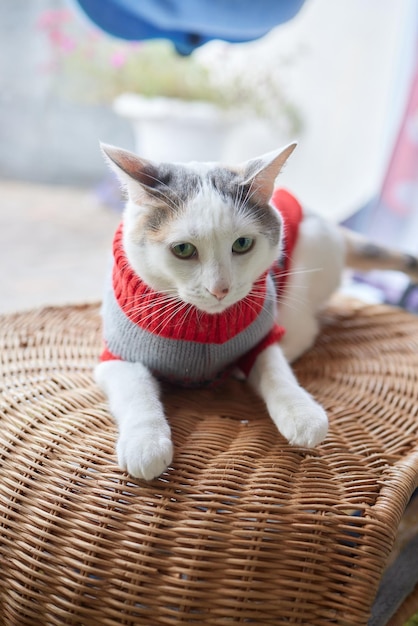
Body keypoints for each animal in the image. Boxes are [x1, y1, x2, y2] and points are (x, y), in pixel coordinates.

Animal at [94, 141, 418, 480]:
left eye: (242, 244)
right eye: (183, 249)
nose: (220, 289)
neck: (203, 327)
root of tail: (331, 225)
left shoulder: (261, 339)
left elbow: (276, 371)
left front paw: (302, 413)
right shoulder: (114, 358)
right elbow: (135, 391)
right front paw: (146, 443)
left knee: (303, 330)